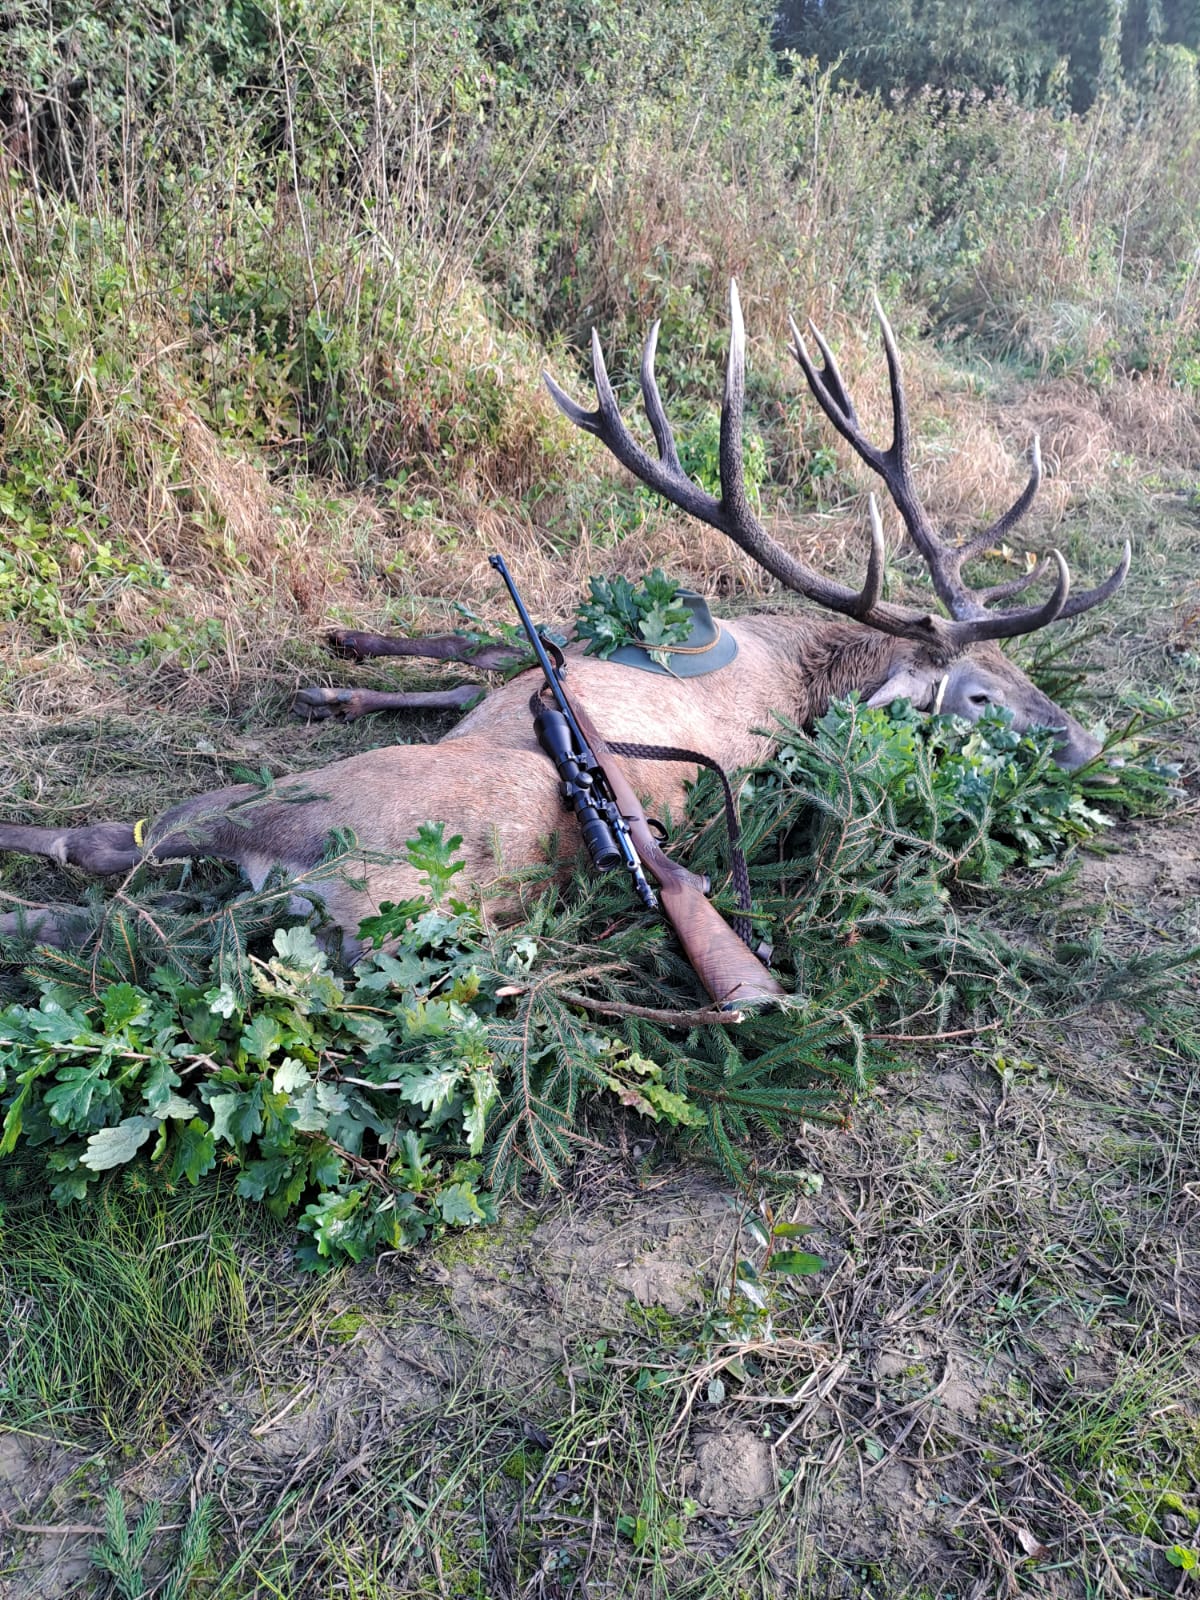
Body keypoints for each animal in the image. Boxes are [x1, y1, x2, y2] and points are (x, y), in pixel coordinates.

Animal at [0, 284, 1130, 967]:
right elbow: (469, 658)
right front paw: (338, 666)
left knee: (107, 861)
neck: (797, 654)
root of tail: (354, 904)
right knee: (120, 923)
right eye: (989, 691)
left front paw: (333, 660)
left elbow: (481, 645)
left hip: (295, 801)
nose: (1091, 741)